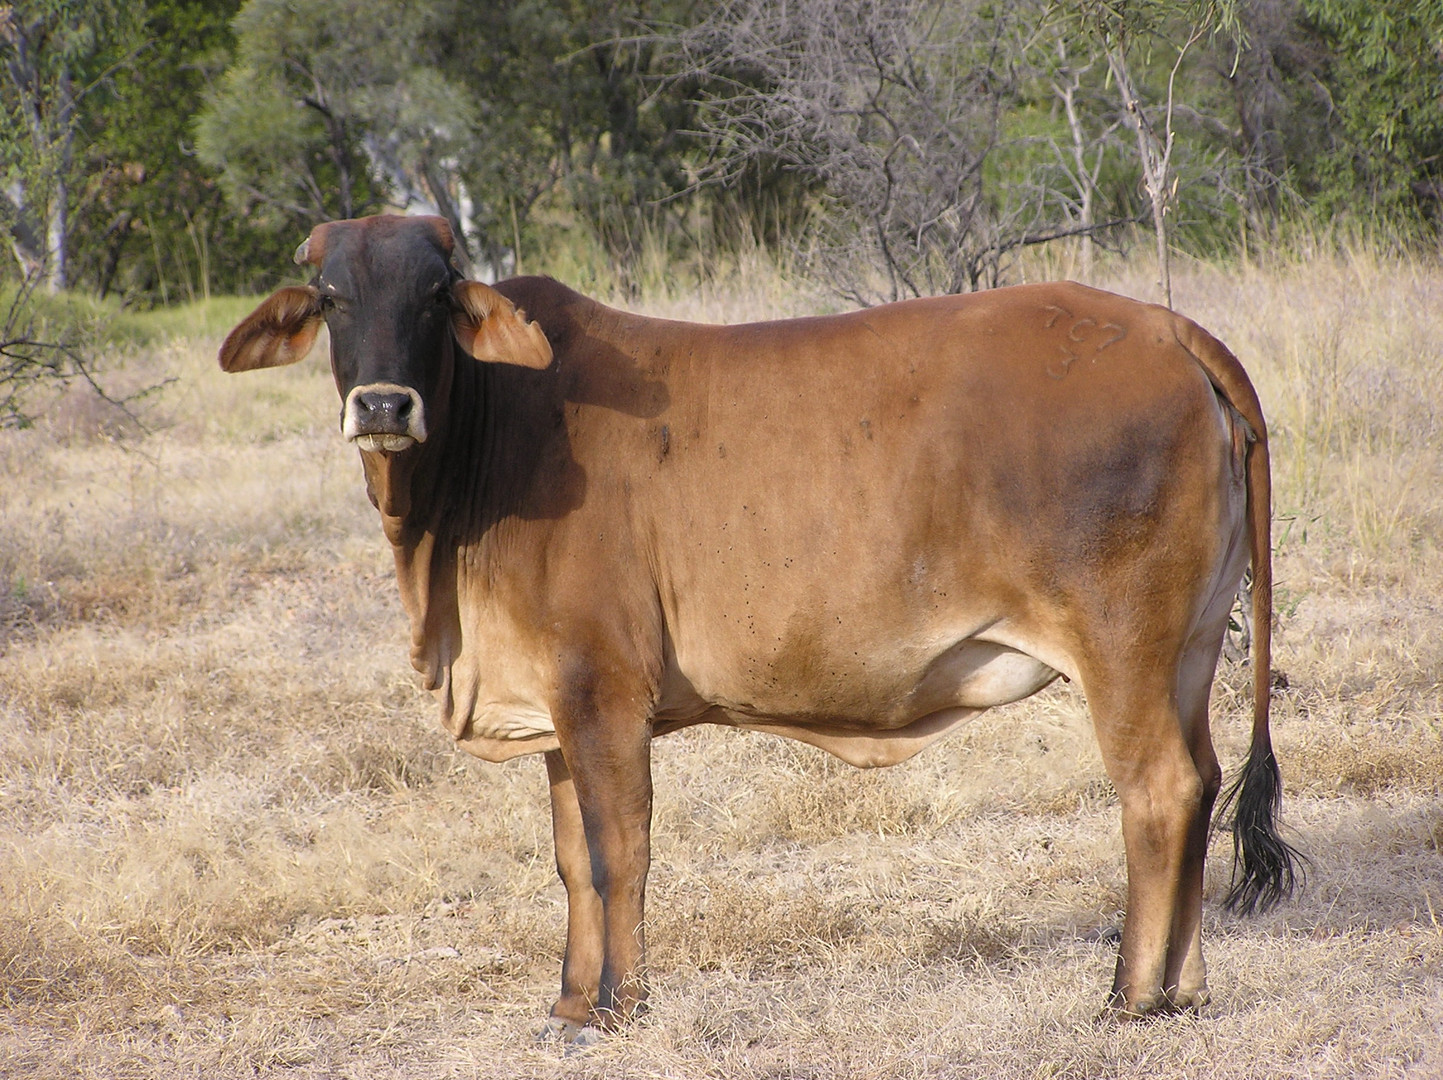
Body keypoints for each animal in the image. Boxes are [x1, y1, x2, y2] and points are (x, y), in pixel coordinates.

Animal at [219, 215, 1304, 1039]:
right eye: (330, 297)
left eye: (436, 296)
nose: (383, 404)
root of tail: (1162, 328)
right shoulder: (559, 708)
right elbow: (572, 861)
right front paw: (570, 1003)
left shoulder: (602, 692)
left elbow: (618, 852)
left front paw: (616, 1007)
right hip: (1189, 648)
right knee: (1203, 781)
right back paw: (1185, 985)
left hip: (1122, 645)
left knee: (1158, 793)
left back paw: (1129, 996)